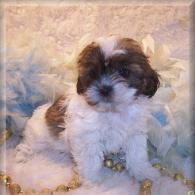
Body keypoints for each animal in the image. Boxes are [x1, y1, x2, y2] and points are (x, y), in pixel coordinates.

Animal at [15, 35, 160, 184]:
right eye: (93, 74)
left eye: (124, 72)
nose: (104, 89)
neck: (111, 112)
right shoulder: (86, 135)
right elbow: (90, 159)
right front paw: (92, 181)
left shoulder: (134, 132)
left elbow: (137, 154)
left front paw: (143, 171)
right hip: (38, 135)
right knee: (28, 144)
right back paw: (23, 155)